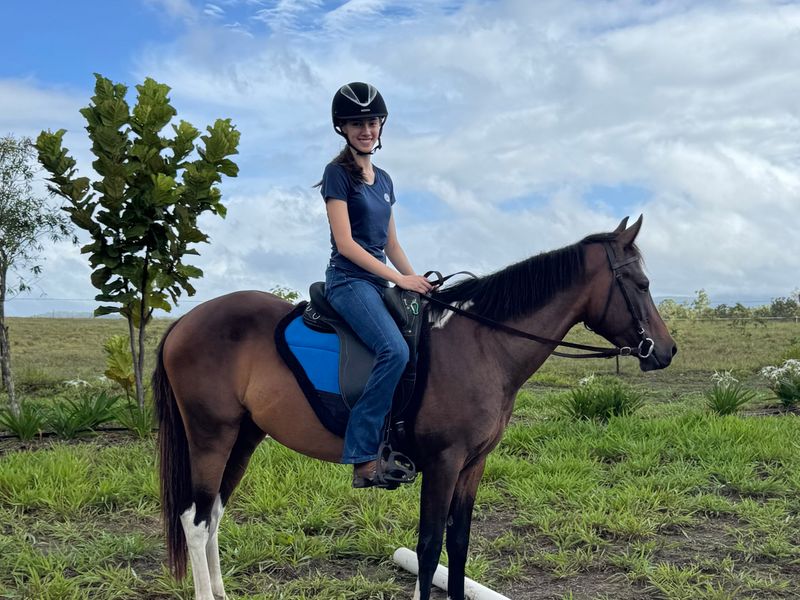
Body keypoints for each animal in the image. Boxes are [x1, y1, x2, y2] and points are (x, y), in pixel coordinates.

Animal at [153, 215, 677, 600]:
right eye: (640, 282)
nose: (666, 351)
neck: (482, 344)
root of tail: (185, 322)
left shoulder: (472, 465)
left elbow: (458, 545)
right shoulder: (444, 463)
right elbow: (429, 548)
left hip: (244, 435)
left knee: (214, 515)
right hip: (211, 434)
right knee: (195, 521)